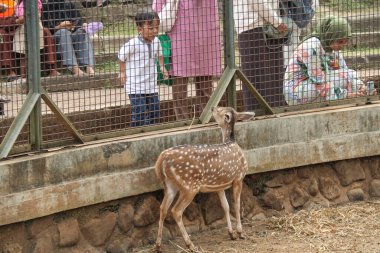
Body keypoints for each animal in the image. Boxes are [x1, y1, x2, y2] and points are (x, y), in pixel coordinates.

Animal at [154, 105, 255, 252]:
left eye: (220, 110)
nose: (212, 107)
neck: (232, 143)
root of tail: (161, 160)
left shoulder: (220, 185)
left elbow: (226, 206)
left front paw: (231, 234)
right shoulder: (238, 177)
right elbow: (236, 204)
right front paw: (240, 233)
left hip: (169, 185)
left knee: (163, 208)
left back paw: (158, 245)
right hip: (189, 186)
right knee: (176, 210)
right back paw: (190, 245)